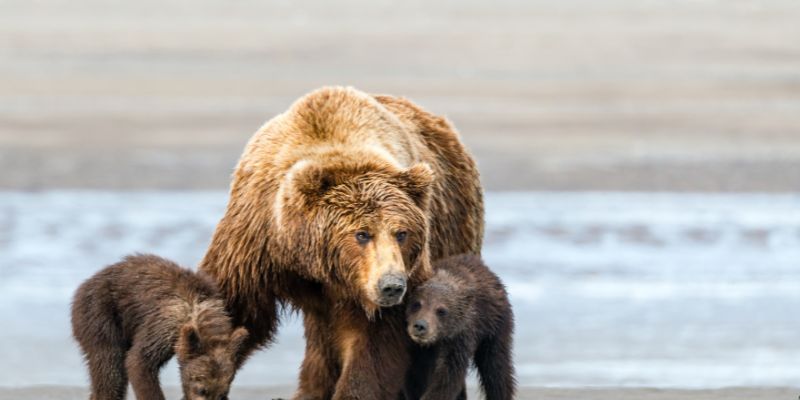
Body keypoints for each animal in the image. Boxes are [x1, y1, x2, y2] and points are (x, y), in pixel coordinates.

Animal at [200, 86, 484, 398]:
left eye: (402, 233)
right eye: (362, 234)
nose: (391, 285)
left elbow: (373, 351)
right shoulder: (256, 241)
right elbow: (235, 310)